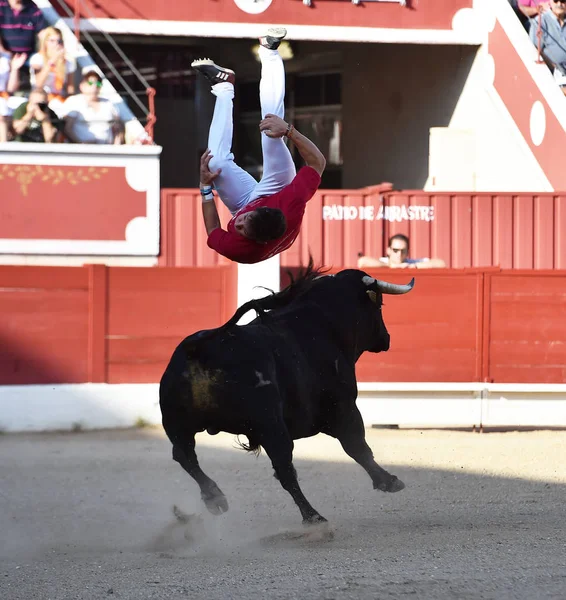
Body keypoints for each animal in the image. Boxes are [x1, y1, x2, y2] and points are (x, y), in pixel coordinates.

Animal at [161, 262, 418, 524]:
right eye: (380, 305)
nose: (386, 339)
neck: (325, 325)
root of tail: (199, 348)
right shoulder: (344, 406)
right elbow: (357, 446)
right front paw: (388, 481)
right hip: (270, 425)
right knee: (284, 468)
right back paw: (313, 517)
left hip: (177, 424)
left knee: (184, 455)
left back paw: (215, 499)